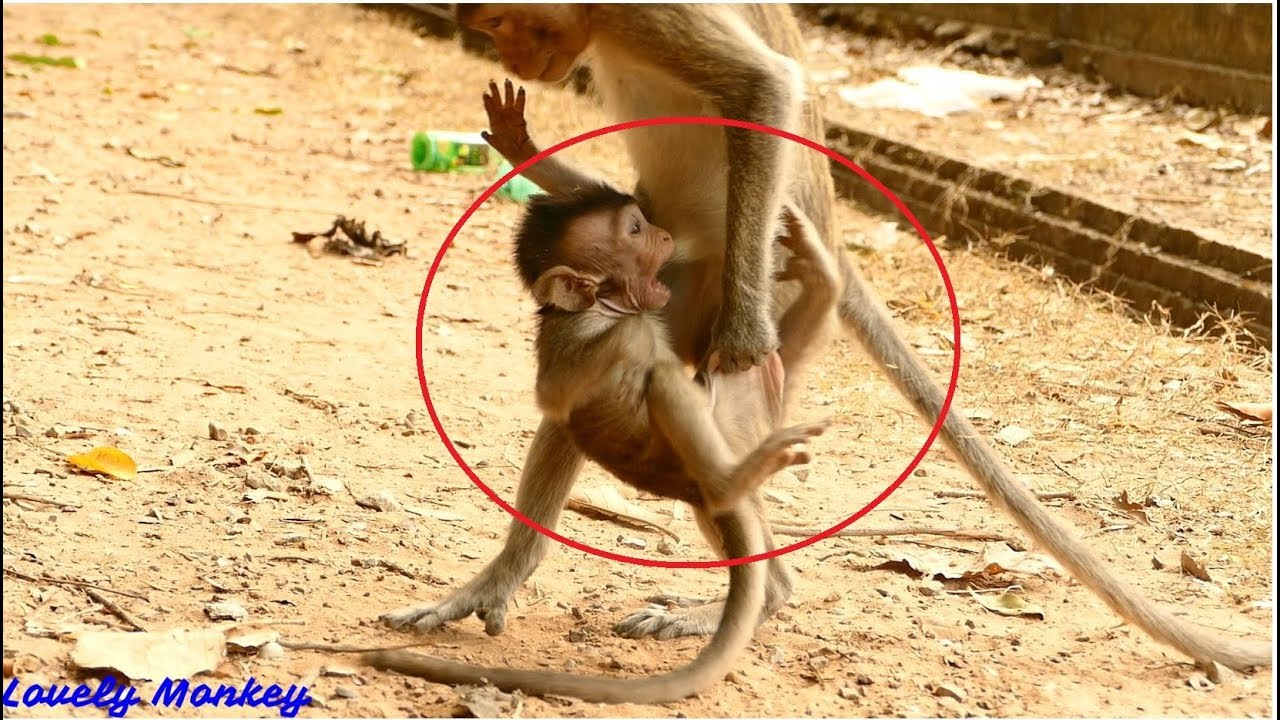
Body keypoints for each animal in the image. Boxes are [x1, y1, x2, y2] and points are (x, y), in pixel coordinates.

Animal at [363, 186, 832, 702]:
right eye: (635, 229)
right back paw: (737, 483)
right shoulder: (585, 342)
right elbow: (570, 394)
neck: (596, 311)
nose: (664, 234)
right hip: (724, 427)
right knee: (667, 382)